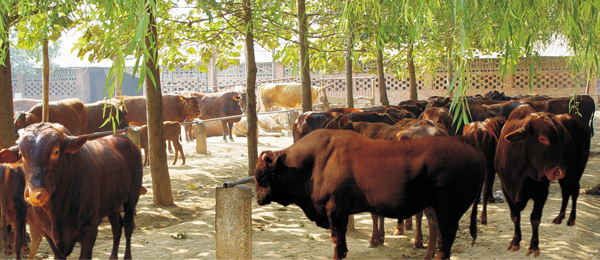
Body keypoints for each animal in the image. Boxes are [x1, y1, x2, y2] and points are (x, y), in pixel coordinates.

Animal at [0, 123, 143, 258]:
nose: (35, 194)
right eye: (21, 154)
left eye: (56, 152)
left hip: (132, 196)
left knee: (128, 225)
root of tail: (123, 139)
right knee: (116, 227)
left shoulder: (90, 229)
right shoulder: (48, 233)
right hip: (113, 204)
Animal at [254, 130, 482, 260]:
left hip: (447, 212)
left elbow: (337, 240)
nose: (258, 198)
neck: (315, 161)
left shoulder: (335, 210)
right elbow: (342, 243)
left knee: (446, 238)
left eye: (261, 175)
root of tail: (472, 151)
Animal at [494, 104, 576, 256]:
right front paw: (515, 241)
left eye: (562, 140)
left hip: (574, 172)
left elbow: (535, 218)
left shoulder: (542, 192)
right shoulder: (506, 189)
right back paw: (560, 218)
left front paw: (533, 246)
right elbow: (515, 216)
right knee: (567, 192)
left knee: (573, 192)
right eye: (543, 138)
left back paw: (570, 219)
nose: (560, 170)